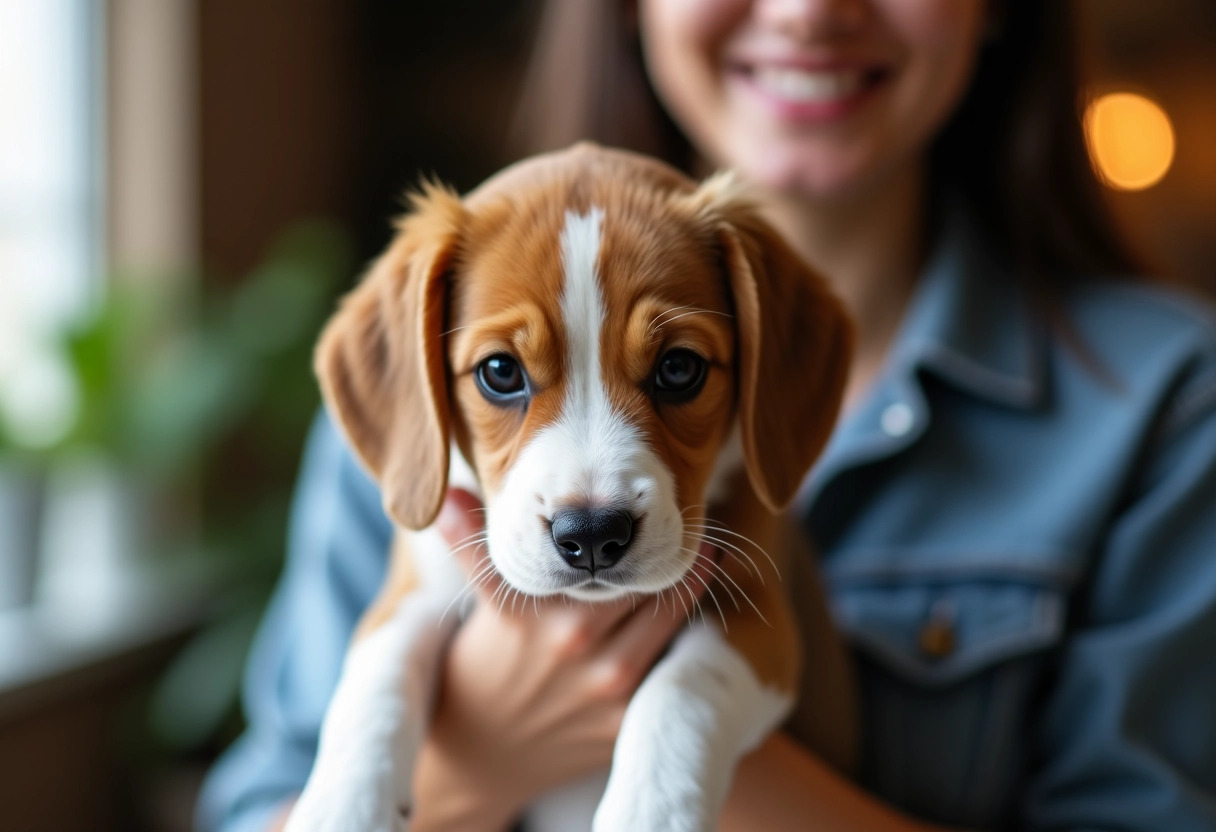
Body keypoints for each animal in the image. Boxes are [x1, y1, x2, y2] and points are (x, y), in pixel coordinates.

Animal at [284, 144, 856, 832]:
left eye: (679, 369)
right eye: (500, 372)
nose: (591, 535)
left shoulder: (763, 619)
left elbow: (684, 687)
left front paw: (648, 811)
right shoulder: (412, 590)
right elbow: (374, 680)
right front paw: (340, 807)